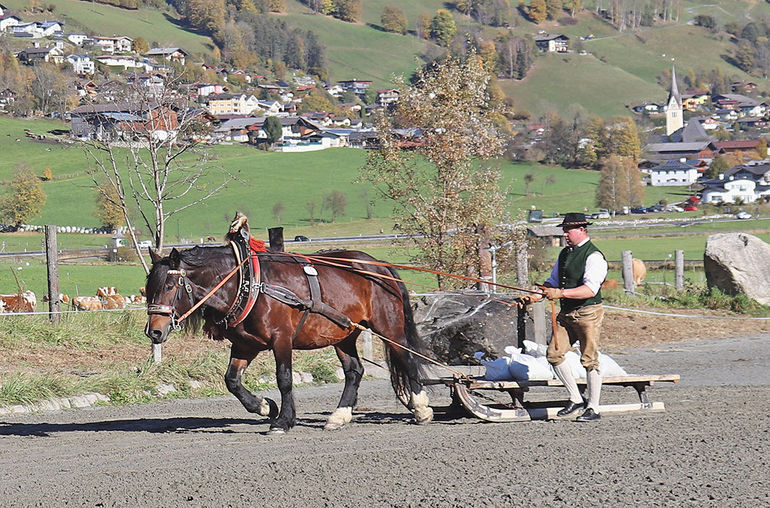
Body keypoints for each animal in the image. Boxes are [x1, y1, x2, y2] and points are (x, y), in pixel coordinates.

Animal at [144, 246, 432, 432]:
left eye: (169, 286)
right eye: (148, 287)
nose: (153, 331)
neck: (250, 284)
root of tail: (379, 265)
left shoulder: (281, 339)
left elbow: (284, 379)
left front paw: (283, 420)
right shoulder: (245, 345)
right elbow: (232, 381)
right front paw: (265, 406)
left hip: (388, 327)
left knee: (407, 359)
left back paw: (421, 408)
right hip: (344, 334)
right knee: (354, 371)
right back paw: (339, 416)